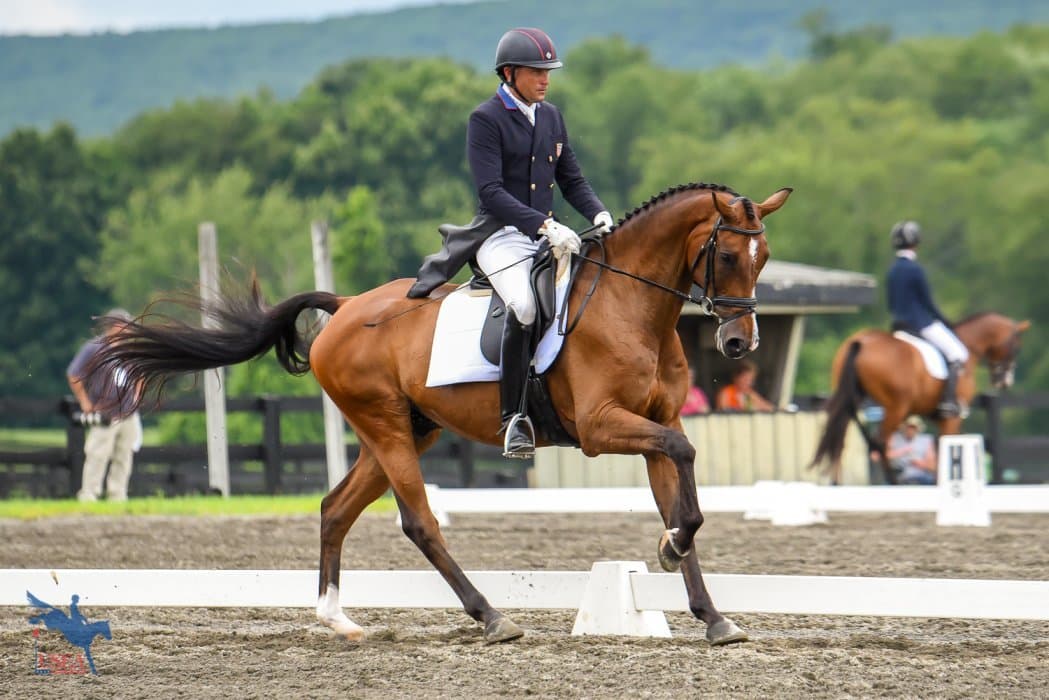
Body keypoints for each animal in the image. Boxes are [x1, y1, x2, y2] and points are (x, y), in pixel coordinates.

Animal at [87, 182, 792, 646]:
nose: (739, 344)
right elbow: (686, 467)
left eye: (762, 258)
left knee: (336, 509)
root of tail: (344, 308)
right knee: (419, 522)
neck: (631, 306)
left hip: (406, 431)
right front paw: (673, 550)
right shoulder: (601, 427)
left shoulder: (656, 424)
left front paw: (709, 611)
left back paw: (338, 619)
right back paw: (491, 617)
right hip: (386, 428)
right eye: (728, 254)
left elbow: (679, 490)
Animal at [812, 313, 1030, 484]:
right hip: (896, 407)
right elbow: (945, 445)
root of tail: (861, 341)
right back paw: (894, 482)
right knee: (880, 442)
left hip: (851, 400)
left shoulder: (938, 416)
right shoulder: (952, 416)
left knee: (843, 439)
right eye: (1017, 347)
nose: (1005, 381)